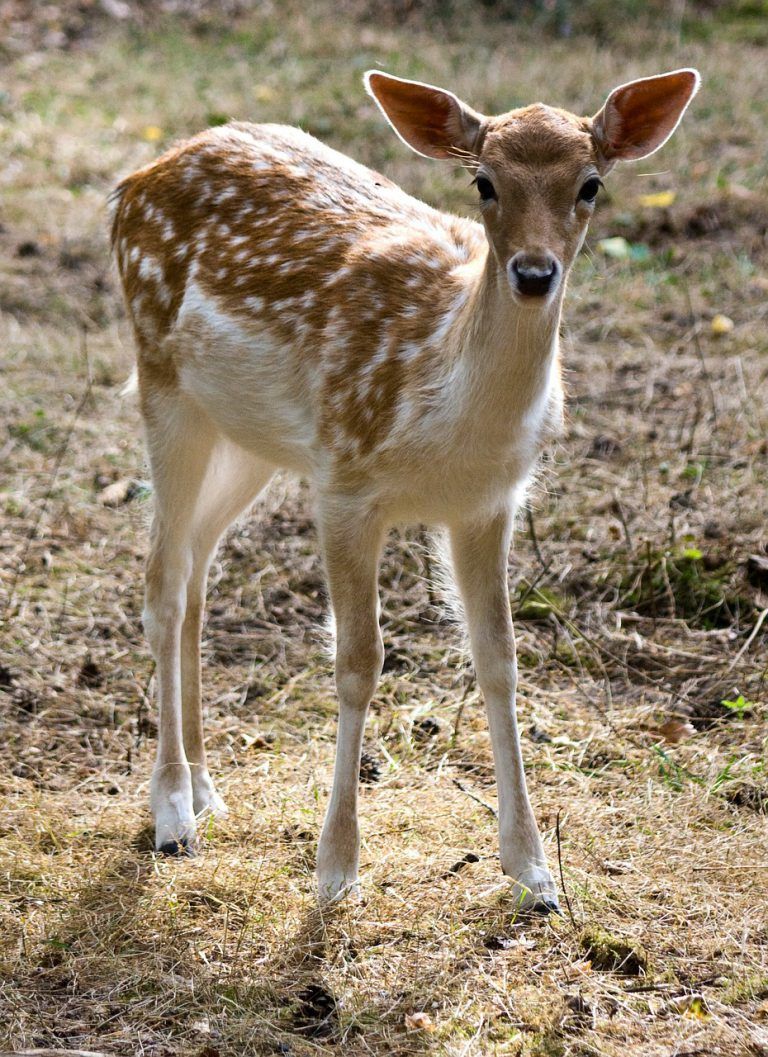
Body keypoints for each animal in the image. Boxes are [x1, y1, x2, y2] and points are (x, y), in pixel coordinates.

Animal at [110, 66, 699, 913]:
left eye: (591, 184)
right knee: (161, 580)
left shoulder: (489, 501)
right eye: (484, 181)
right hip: (162, 380)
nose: (533, 274)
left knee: (194, 572)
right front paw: (334, 872)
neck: (446, 412)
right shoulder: (345, 480)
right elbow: (359, 661)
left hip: (252, 438)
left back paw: (206, 788)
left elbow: (499, 657)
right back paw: (171, 814)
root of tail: (135, 181)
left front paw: (534, 871)